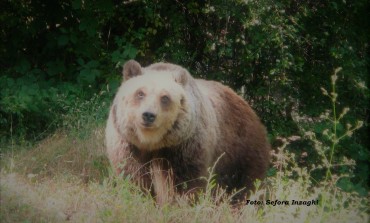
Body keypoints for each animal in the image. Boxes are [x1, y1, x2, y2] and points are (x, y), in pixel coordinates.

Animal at [105, 59, 270, 204]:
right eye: (140, 93)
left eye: (165, 97)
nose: (148, 115)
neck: (153, 143)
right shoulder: (129, 145)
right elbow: (134, 177)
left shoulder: (185, 147)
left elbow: (185, 183)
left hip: (240, 149)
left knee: (244, 184)